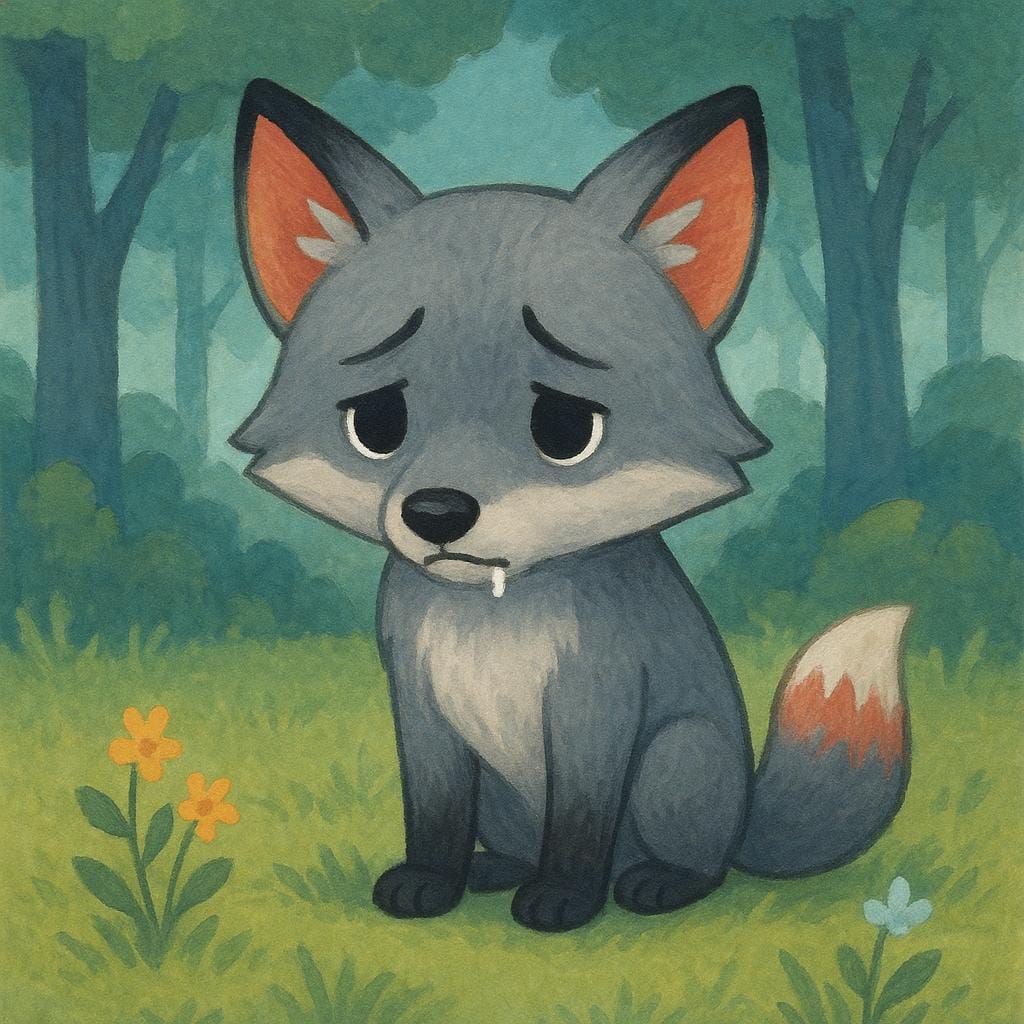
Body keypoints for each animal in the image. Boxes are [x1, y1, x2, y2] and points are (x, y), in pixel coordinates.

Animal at [229, 78, 912, 932]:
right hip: (508, 796)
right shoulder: (421, 708)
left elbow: (582, 824)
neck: (493, 619)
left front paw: (563, 900)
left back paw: (656, 882)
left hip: (680, 760)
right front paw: (430, 883)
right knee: (520, 838)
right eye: (378, 423)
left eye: (565, 428)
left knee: (699, 864)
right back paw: (494, 870)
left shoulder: (597, 700)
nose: (438, 513)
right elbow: (434, 814)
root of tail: (748, 817)